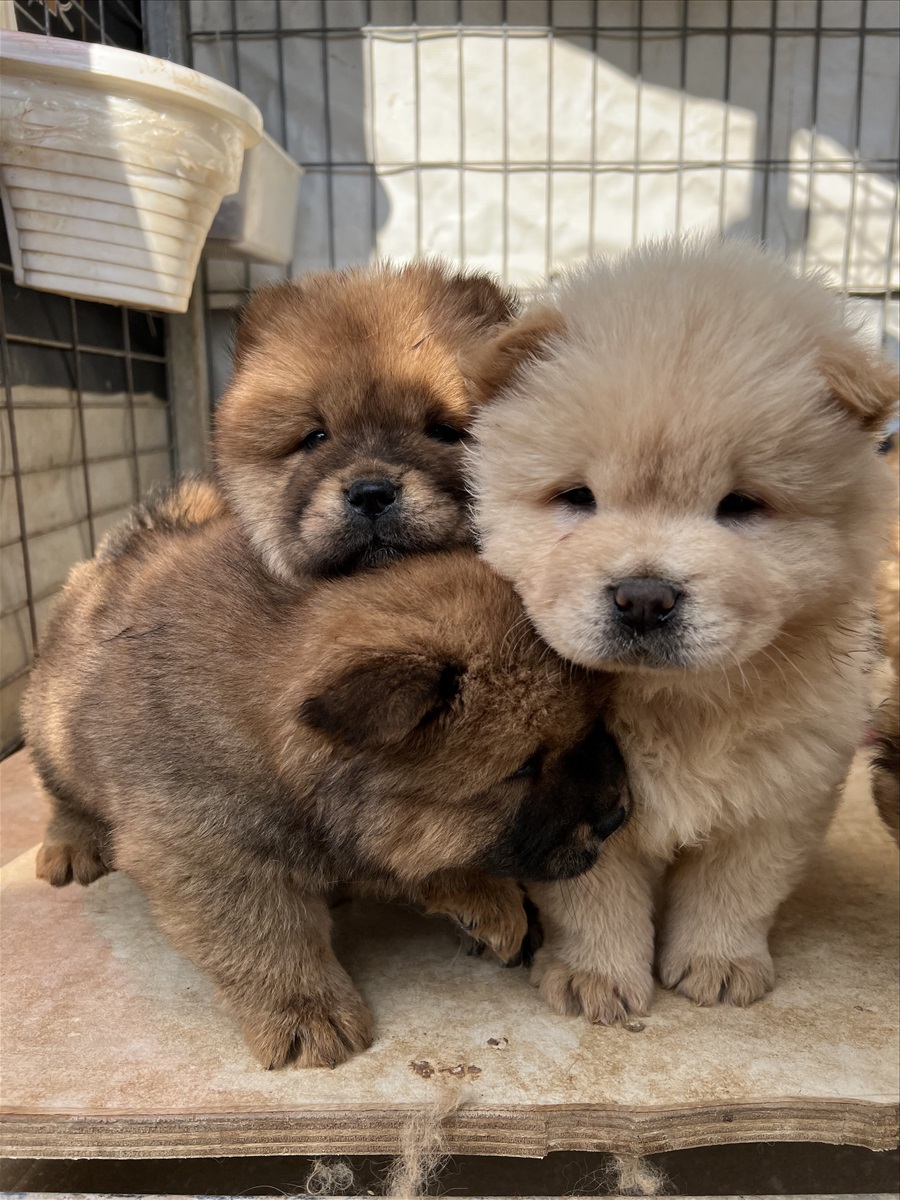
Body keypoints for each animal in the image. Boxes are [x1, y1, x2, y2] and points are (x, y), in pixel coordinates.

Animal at [21, 520, 628, 1065]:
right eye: (523, 767)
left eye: (596, 727)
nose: (618, 816)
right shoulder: (199, 846)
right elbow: (264, 934)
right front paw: (306, 1014)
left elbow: (420, 856)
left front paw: (489, 901)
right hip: (52, 735)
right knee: (62, 797)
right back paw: (72, 845)